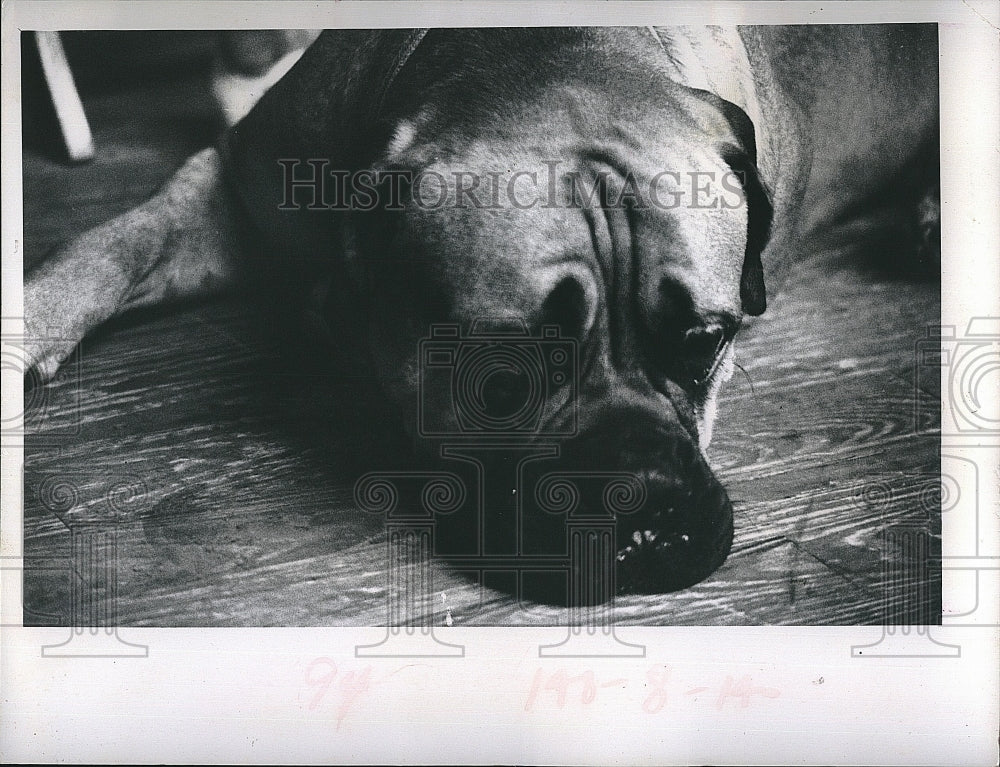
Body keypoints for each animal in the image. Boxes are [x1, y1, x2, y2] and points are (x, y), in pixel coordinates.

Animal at [23, 25, 940, 600]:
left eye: (706, 342)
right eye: (500, 375)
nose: (639, 500)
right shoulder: (232, 186)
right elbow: (111, 244)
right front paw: (29, 322)